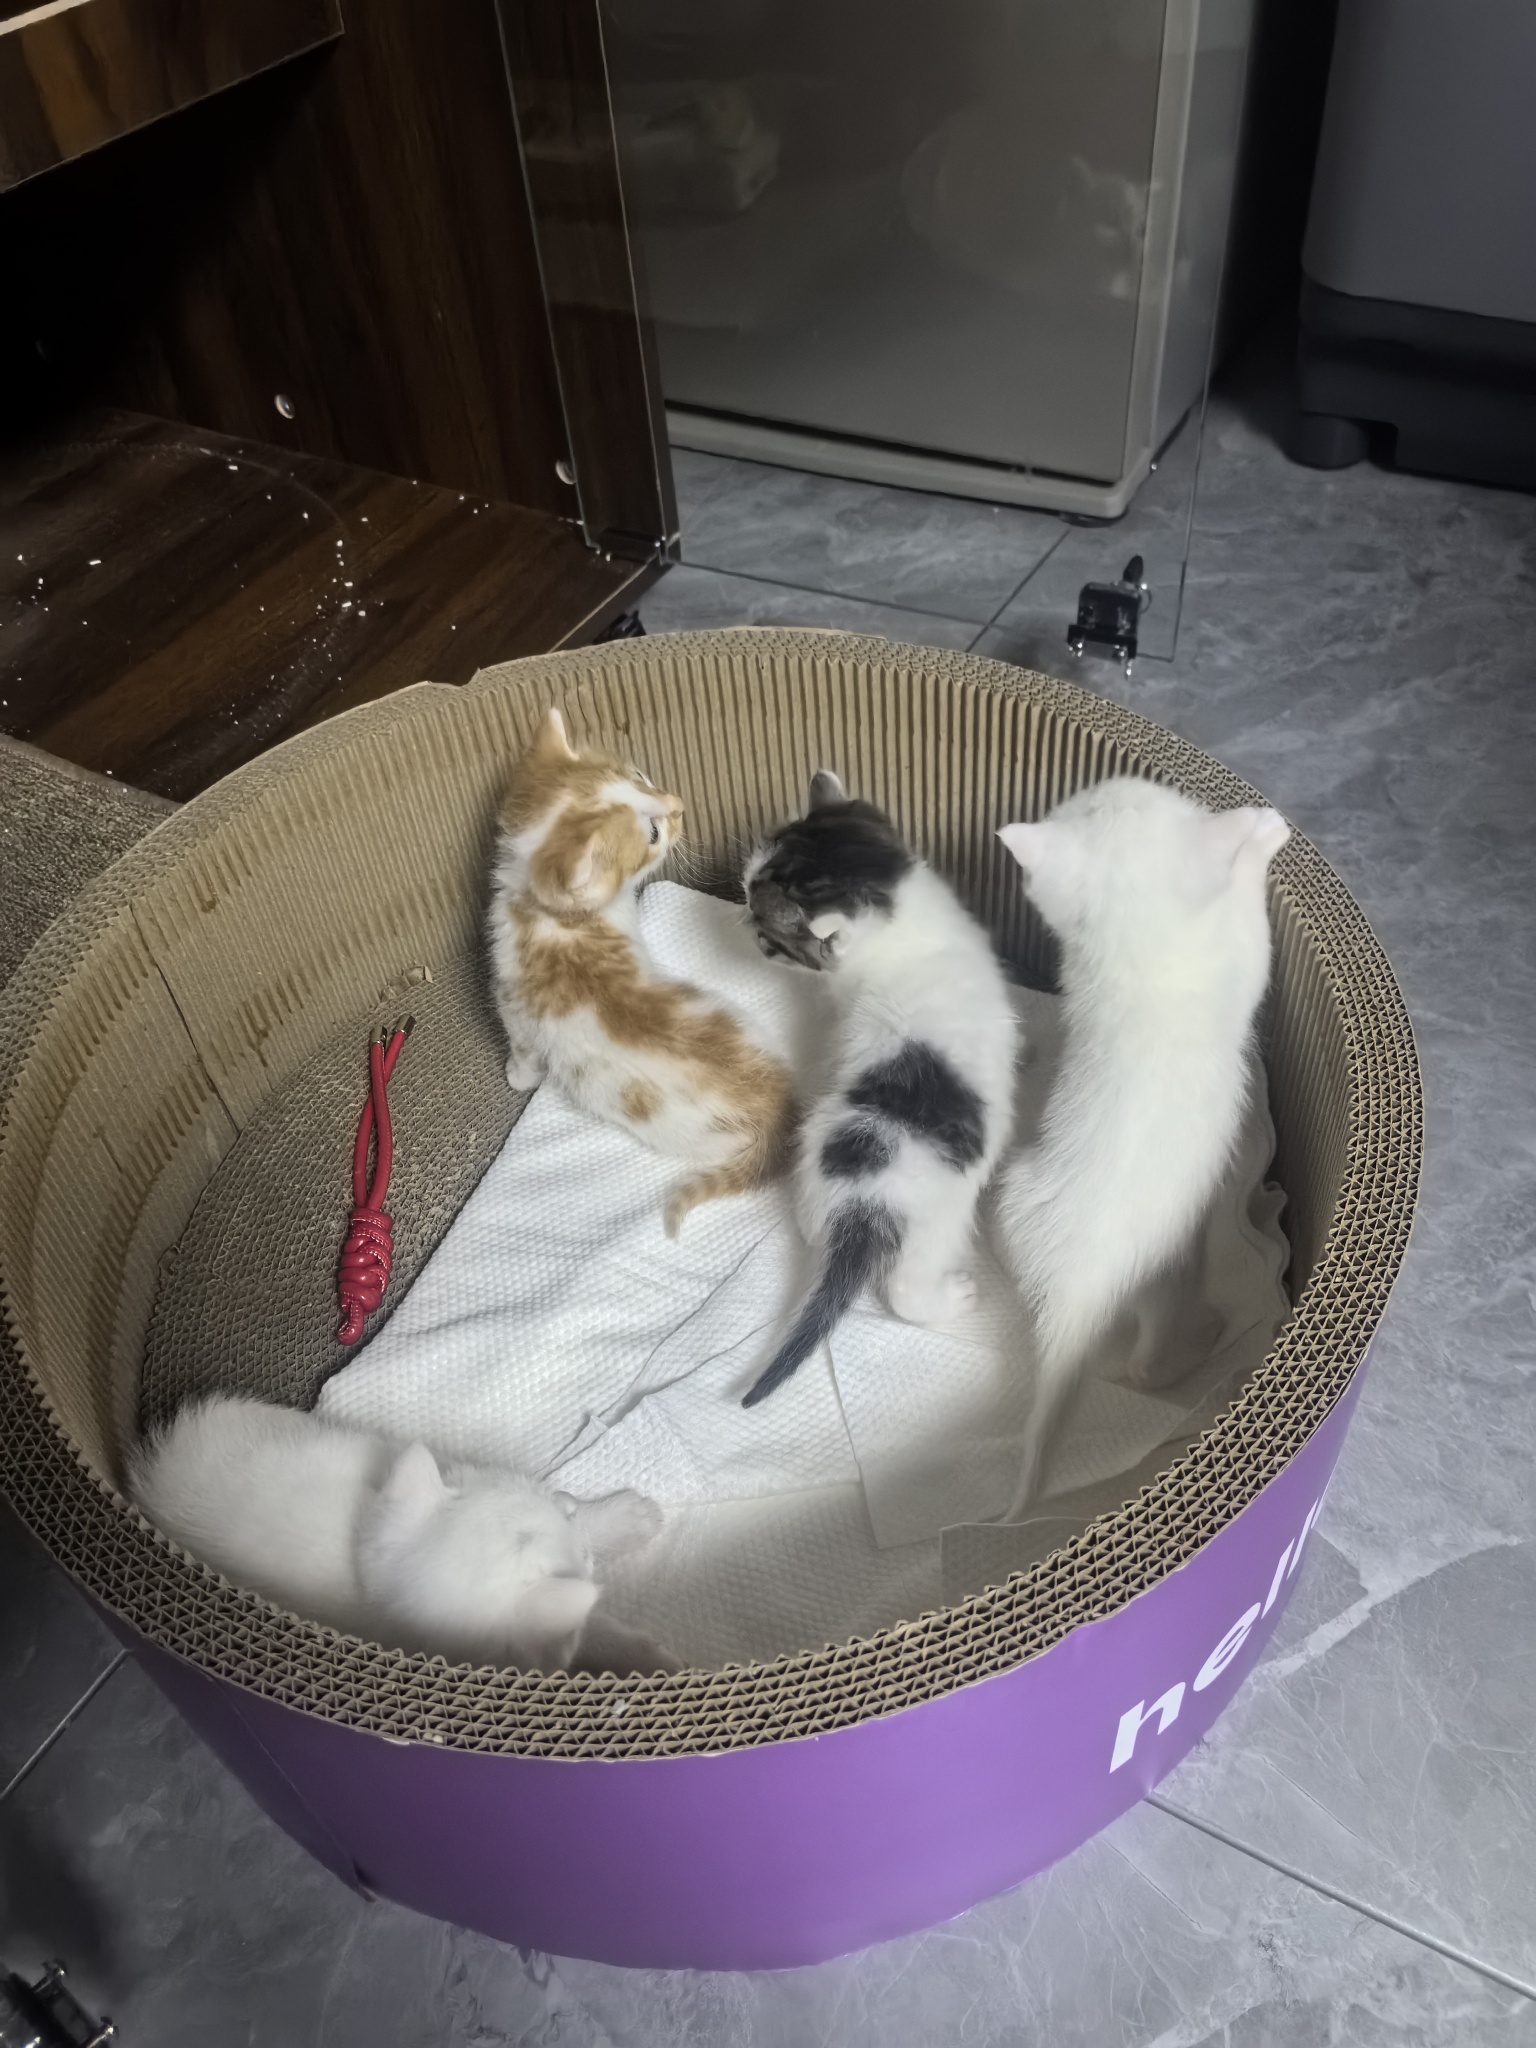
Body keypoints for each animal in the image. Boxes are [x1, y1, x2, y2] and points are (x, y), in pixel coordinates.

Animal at [488, 707, 795, 1234]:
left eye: (641, 777)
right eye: (651, 834)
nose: (680, 804)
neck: (554, 917)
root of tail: (784, 1114)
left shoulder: (516, 1004)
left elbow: (524, 1050)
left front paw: (516, 1078)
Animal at [739, 770, 1019, 1407]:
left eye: (767, 934)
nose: (740, 907)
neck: (903, 919)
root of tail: (860, 1207)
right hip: (939, 1228)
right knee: (905, 1292)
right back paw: (953, 1297)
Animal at [994, 775, 1291, 1511]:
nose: (1114, 779)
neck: (1130, 944)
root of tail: (1078, 1292)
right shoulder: (1241, 955)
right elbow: (1251, 915)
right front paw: (1263, 835)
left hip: (1015, 1206)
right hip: (1174, 1273)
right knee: (1152, 1360)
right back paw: (1201, 1341)